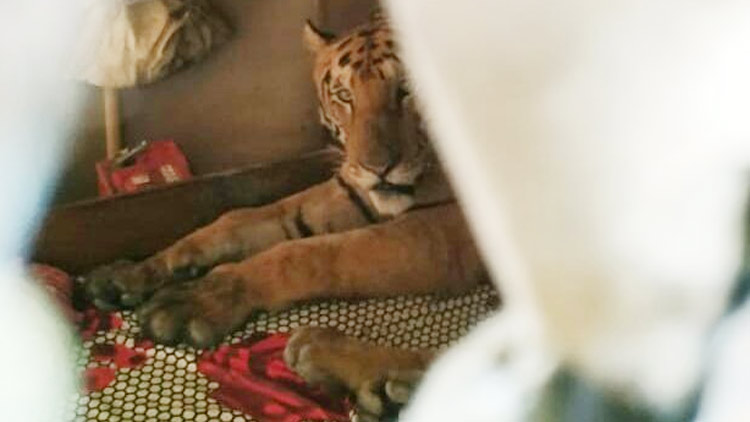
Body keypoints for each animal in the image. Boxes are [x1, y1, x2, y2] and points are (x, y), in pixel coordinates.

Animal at [86, 14, 487, 420]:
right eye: (344, 96)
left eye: (407, 88)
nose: (377, 168)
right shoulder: (349, 192)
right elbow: (240, 220)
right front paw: (133, 274)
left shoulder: (444, 232)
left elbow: (306, 254)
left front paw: (196, 300)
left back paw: (344, 362)